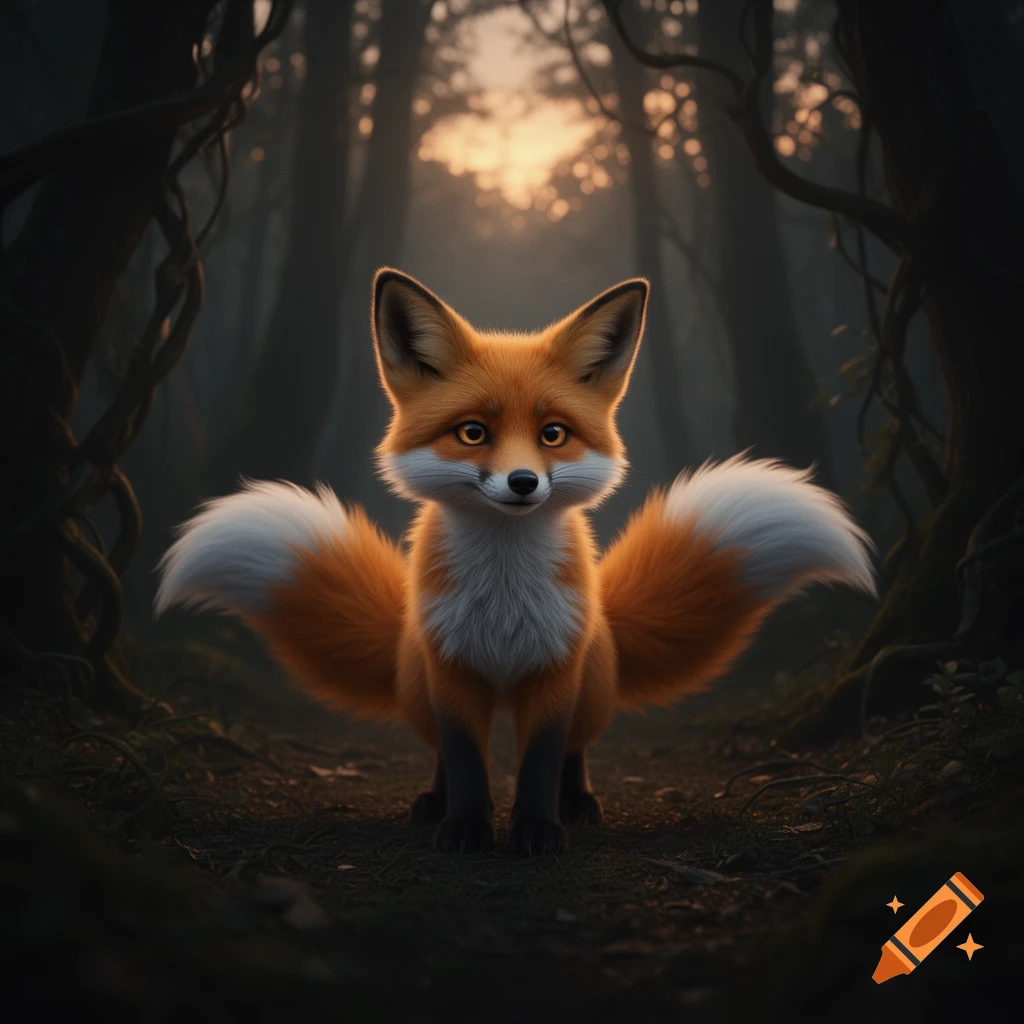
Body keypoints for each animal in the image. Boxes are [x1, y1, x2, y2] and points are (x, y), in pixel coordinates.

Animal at [154, 268, 876, 855]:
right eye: (473, 432)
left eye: (552, 433)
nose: (524, 482)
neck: (503, 598)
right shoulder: (451, 668)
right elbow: (468, 762)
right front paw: (467, 827)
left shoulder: (555, 669)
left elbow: (538, 763)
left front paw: (536, 829)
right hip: (419, 682)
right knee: (440, 751)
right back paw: (436, 801)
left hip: (591, 684)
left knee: (577, 750)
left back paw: (577, 802)